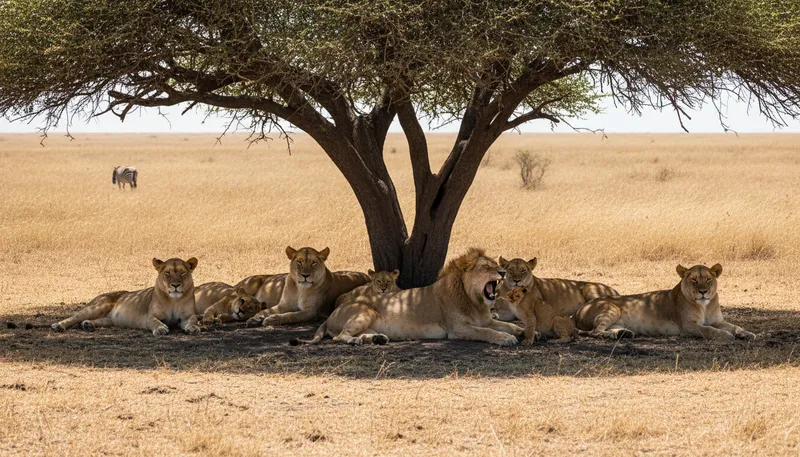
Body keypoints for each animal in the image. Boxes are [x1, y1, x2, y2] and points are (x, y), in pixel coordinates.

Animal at [51, 257, 201, 336]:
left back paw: (88, 325)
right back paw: (58, 326)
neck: (174, 300)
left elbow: (193, 320)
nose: (175, 285)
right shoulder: (150, 316)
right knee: (74, 317)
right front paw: (160, 329)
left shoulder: (187, 316)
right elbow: (155, 322)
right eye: (167, 273)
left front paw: (193, 328)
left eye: (182, 272)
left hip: (109, 319)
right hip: (98, 307)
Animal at [291, 248, 524, 346]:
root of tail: (332, 314)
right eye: (487, 267)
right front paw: (506, 339)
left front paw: (522, 331)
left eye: (497, 265)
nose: (503, 272)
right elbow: (486, 332)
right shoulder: (458, 329)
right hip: (365, 310)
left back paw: (376, 339)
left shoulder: (486, 319)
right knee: (339, 337)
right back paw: (356, 341)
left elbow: (506, 325)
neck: (475, 300)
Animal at [574, 264, 756, 341]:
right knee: (594, 331)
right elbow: (708, 329)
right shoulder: (687, 326)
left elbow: (735, 326)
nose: (703, 292)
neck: (704, 306)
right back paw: (614, 335)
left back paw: (623, 333)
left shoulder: (718, 321)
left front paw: (747, 333)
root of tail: (578, 310)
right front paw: (725, 335)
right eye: (694, 280)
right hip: (611, 308)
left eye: (708, 279)